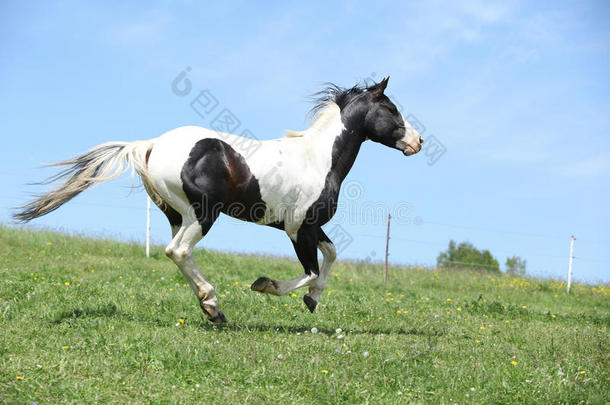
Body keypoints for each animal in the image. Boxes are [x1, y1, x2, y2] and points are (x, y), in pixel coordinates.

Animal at [15, 76, 422, 322]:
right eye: (391, 110)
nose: (418, 142)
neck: (317, 158)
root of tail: (151, 145)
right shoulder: (297, 228)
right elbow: (309, 270)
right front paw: (266, 285)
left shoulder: (309, 227)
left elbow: (332, 256)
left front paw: (313, 300)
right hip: (203, 214)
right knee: (178, 251)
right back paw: (213, 306)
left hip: (178, 215)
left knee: (177, 252)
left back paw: (211, 307)